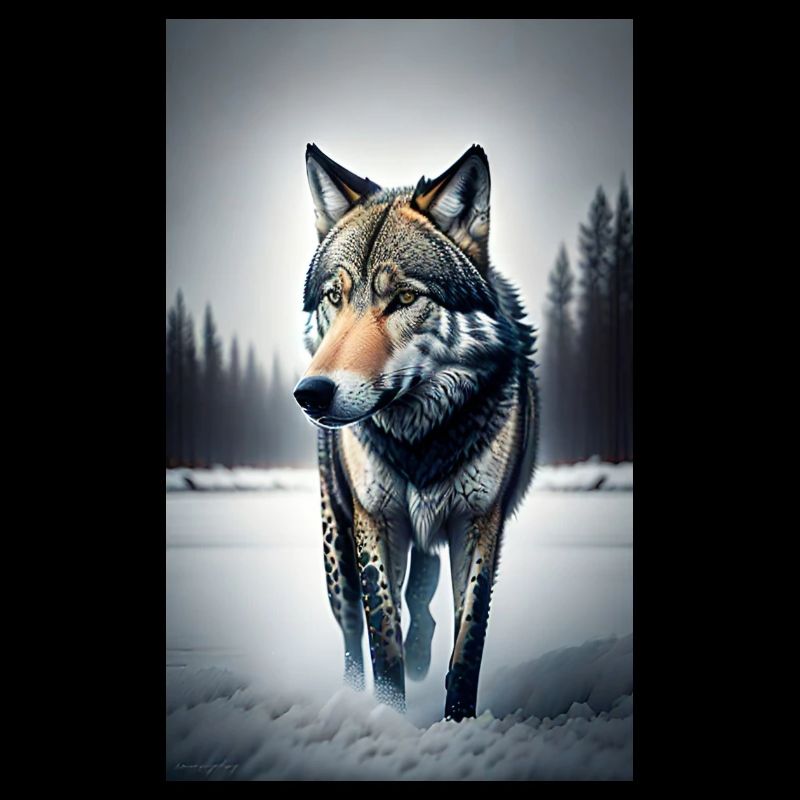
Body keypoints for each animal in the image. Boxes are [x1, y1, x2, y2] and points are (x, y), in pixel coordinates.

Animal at [294, 143, 539, 721]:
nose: (311, 393)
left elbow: (468, 640)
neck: (419, 442)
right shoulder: (375, 521)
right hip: (336, 548)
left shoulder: (479, 521)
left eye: (404, 298)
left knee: (422, 607)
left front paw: (458, 720)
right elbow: (383, 638)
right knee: (352, 631)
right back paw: (351, 696)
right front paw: (390, 716)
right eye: (334, 296)